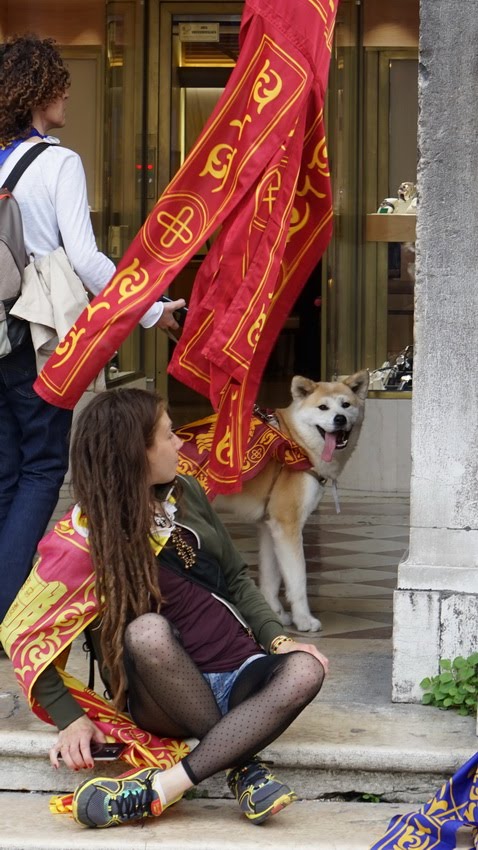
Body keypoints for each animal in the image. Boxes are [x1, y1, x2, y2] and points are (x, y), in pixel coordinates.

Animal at [217, 370, 370, 628]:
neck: (296, 441)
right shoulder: (287, 524)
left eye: (346, 405)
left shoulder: (270, 526)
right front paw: (304, 619)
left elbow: (271, 577)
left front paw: (275, 614)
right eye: (323, 407)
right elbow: (298, 578)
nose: (339, 419)